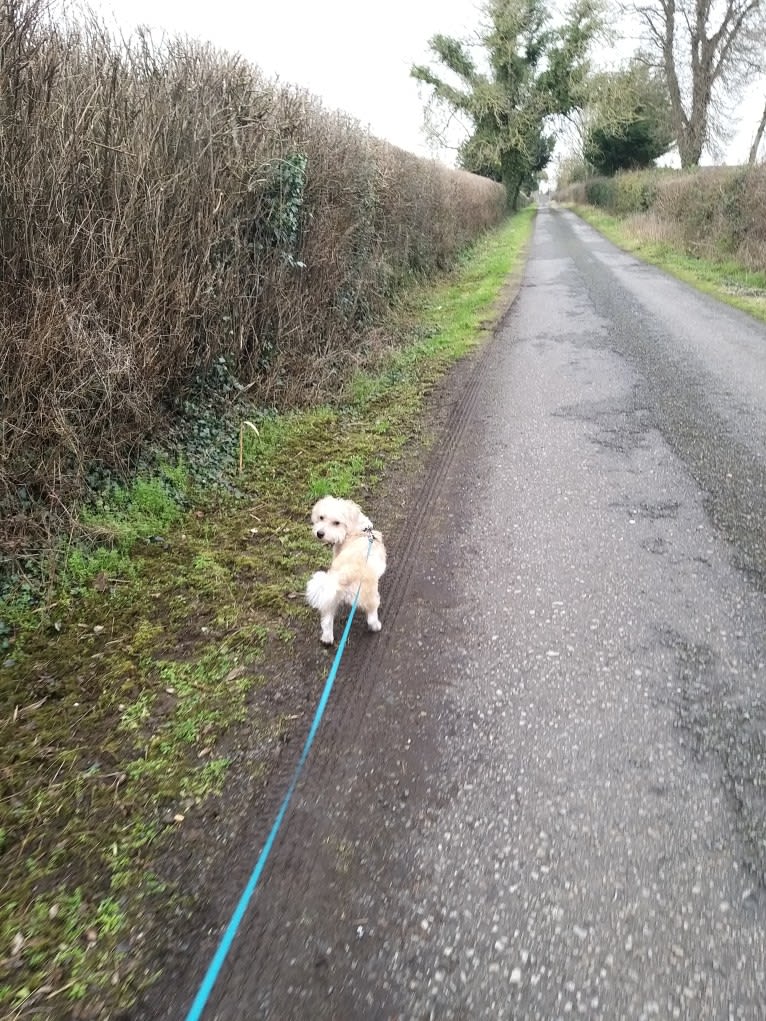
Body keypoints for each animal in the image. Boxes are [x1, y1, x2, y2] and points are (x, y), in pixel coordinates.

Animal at [306, 494, 386, 645]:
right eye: (321, 517)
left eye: (337, 522)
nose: (320, 533)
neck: (358, 531)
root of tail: (344, 575)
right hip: (369, 596)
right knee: (372, 615)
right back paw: (376, 626)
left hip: (331, 598)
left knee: (327, 620)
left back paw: (327, 638)